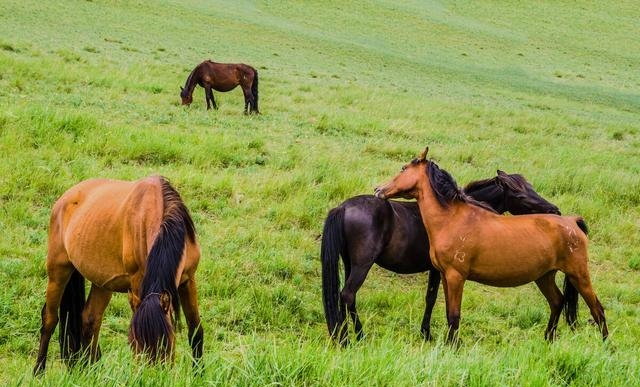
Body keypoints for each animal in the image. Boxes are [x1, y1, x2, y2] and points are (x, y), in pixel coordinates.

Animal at [33, 177, 204, 376]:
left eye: (165, 343)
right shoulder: (138, 282)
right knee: (50, 319)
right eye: (134, 343)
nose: (151, 377)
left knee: (90, 319)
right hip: (58, 271)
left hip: (102, 283)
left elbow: (195, 330)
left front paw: (199, 375)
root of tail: (64, 198)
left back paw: (92, 372)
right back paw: (38, 372)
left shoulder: (188, 280)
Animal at [320, 171, 560, 344]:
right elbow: (432, 298)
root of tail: (343, 207)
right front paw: (426, 334)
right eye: (520, 195)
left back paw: (346, 334)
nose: (554, 210)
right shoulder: (438, 270)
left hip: (350, 263)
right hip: (362, 264)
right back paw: (353, 337)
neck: (453, 214)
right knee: (348, 295)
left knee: (345, 297)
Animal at [376, 147, 608, 344]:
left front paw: (453, 346)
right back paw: (548, 340)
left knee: (597, 309)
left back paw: (606, 347)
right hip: (545, 276)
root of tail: (571, 221)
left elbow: (454, 315)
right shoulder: (443, 274)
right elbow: (445, 310)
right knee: (557, 302)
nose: (378, 189)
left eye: (403, 168)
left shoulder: (456, 276)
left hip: (579, 275)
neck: (452, 219)